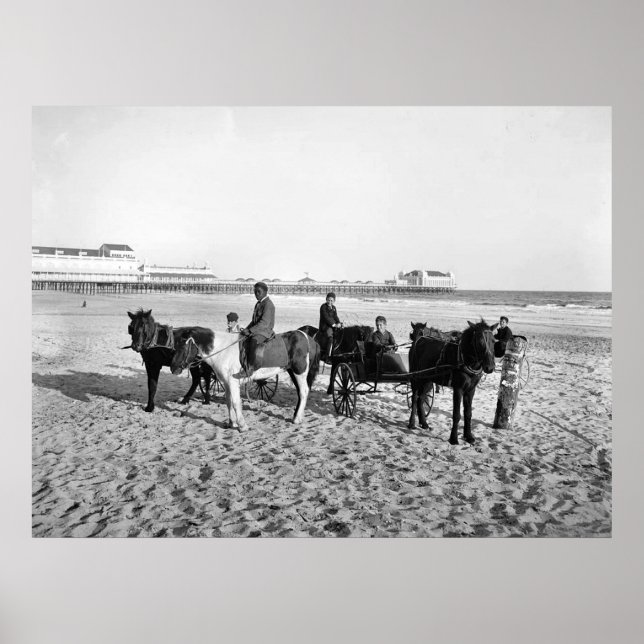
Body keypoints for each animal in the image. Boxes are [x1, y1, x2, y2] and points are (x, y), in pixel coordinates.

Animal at [170, 329, 320, 430]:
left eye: (183, 346)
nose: (173, 368)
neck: (223, 350)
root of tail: (309, 339)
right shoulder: (227, 382)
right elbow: (228, 401)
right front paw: (232, 423)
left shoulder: (233, 381)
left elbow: (236, 402)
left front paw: (242, 425)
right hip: (292, 372)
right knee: (300, 393)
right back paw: (296, 416)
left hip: (299, 372)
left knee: (303, 392)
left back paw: (297, 419)